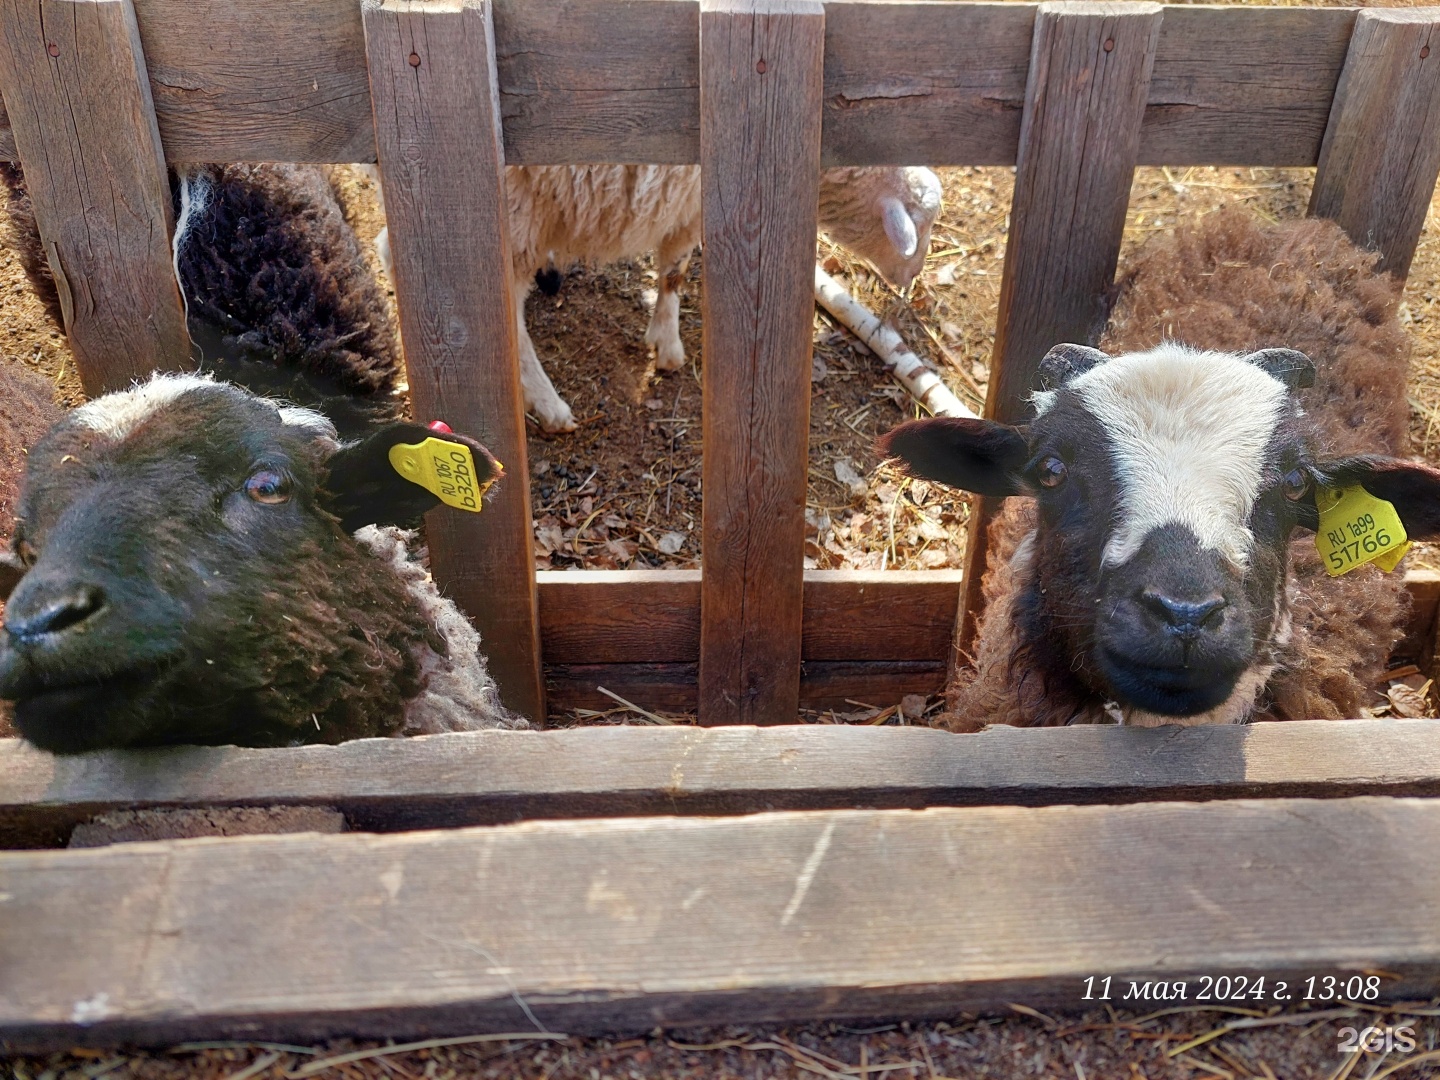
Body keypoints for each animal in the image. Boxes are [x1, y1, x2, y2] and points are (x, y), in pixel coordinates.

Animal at [365, 162, 944, 434]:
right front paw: (667, 344)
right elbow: (674, 273)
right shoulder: (690, 204)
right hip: (510, 210)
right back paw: (547, 402)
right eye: (921, 225)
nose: (912, 281)